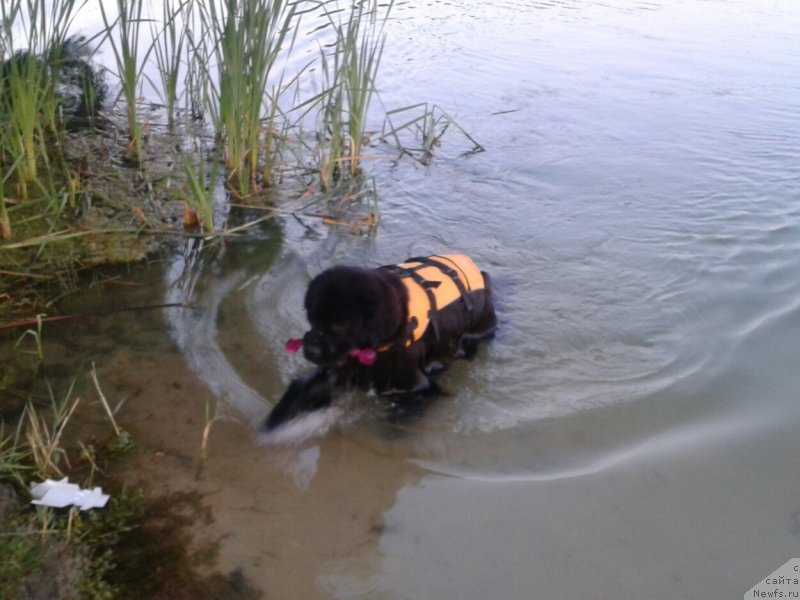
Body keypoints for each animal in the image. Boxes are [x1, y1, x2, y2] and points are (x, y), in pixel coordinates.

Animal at [266, 253, 496, 432]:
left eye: (339, 325)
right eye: (312, 318)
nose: (311, 348)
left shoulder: (413, 384)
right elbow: (307, 386)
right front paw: (279, 416)